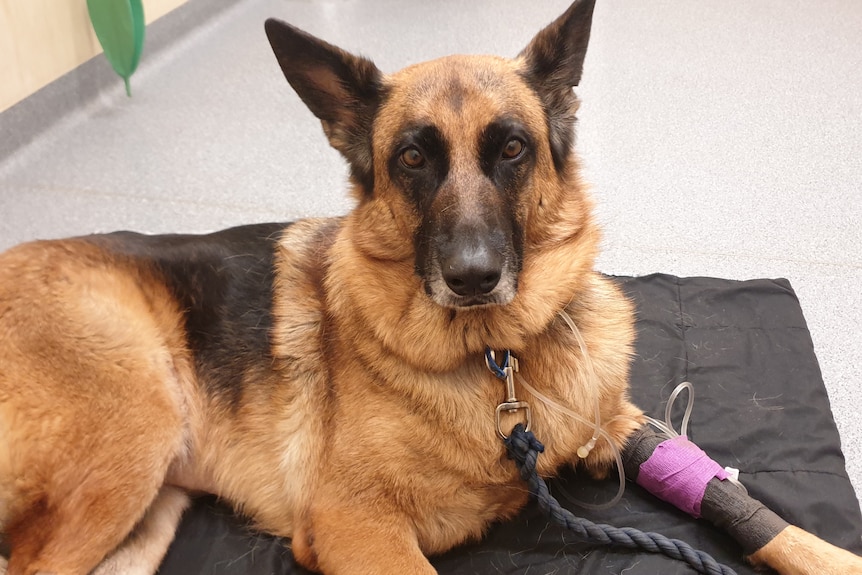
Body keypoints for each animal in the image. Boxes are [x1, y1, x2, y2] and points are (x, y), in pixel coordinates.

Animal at [1, 1, 862, 575]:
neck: (497, 361)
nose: (474, 279)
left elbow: (743, 506)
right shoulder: (357, 525)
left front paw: (823, 551)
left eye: (511, 148)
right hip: (134, 436)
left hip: (145, 518)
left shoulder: (614, 420)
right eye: (412, 159)